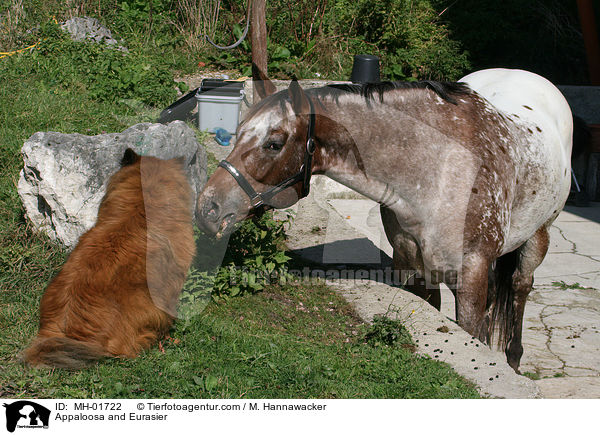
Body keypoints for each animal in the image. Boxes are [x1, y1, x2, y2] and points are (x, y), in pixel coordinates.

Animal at [197, 68, 572, 372]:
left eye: (274, 144)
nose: (207, 208)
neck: (441, 167)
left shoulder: (471, 277)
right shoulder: (412, 265)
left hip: (538, 237)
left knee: (521, 287)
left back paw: (513, 359)